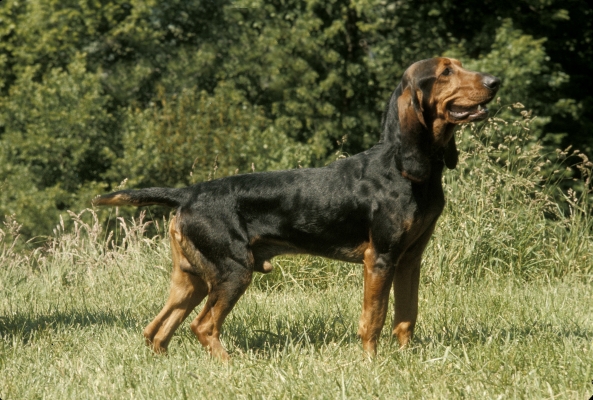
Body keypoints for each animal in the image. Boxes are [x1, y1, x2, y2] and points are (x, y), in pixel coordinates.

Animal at [93, 57, 500, 360]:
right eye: (446, 72)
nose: (496, 81)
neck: (406, 167)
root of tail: (187, 193)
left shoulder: (410, 259)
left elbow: (406, 317)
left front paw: (405, 360)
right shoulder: (380, 259)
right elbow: (374, 319)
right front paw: (371, 364)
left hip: (191, 278)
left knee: (156, 330)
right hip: (232, 271)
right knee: (202, 326)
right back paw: (231, 366)